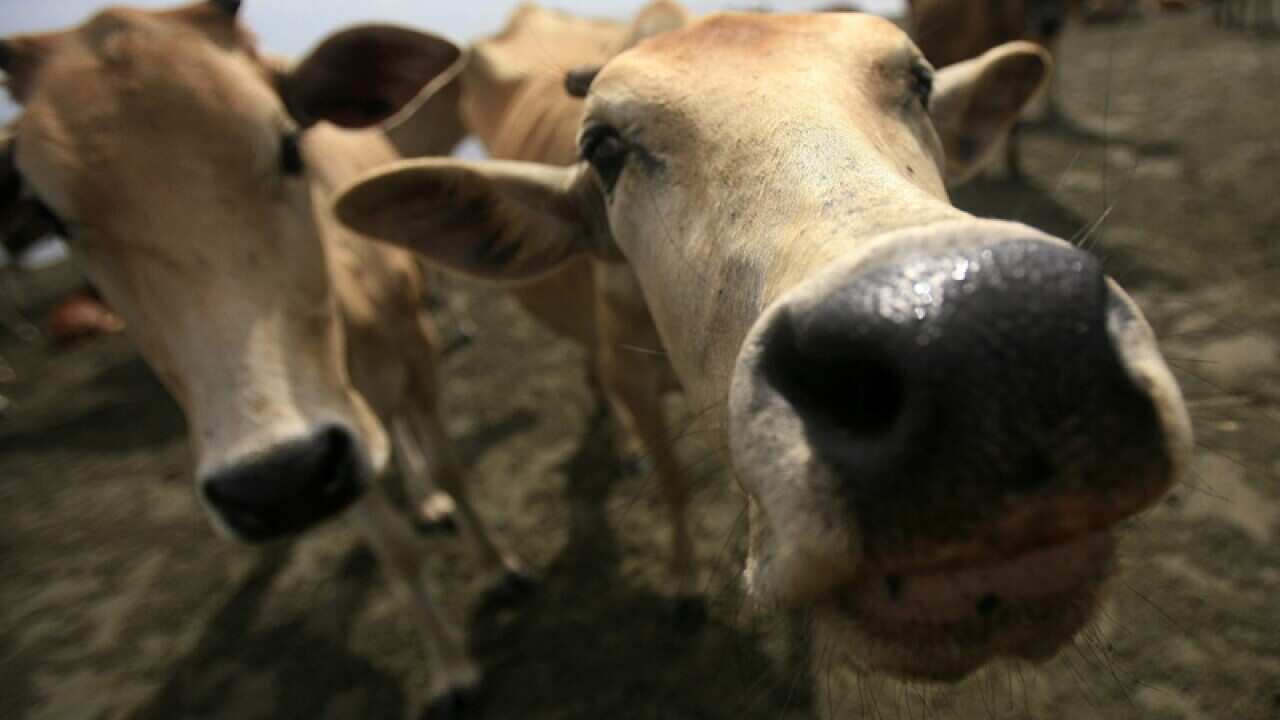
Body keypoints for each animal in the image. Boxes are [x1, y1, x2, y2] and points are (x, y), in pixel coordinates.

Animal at [0, 2, 528, 715]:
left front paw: (500, 570)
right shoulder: (331, 445)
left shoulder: (410, 360)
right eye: (53, 217)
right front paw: (450, 666)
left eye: (288, 145)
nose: (273, 482)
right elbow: (394, 549)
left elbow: (452, 467)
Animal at [336, 6, 1192, 691]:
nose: (981, 341)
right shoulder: (633, 379)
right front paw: (683, 585)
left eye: (919, 82)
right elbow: (675, 484)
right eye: (605, 147)